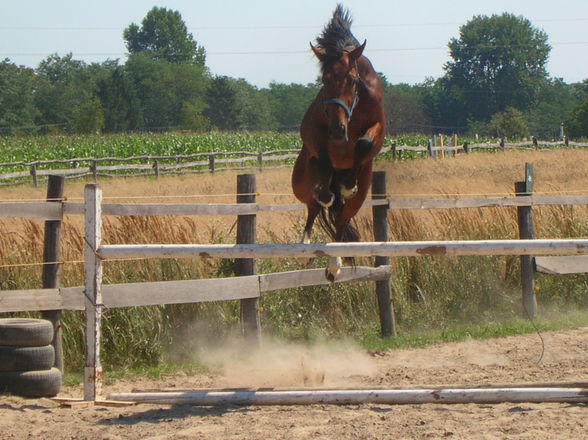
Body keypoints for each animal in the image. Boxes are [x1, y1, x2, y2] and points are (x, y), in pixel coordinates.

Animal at [292, 5, 386, 280]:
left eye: (353, 81)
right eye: (324, 81)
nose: (337, 130)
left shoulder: (379, 129)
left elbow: (364, 143)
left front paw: (346, 185)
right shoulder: (312, 131)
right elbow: (323, 157)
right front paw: (328, 189)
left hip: (363, 193)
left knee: (342, 219)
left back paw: (334, 263)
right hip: (300, 182)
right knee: (313, 206)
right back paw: (305, 247)